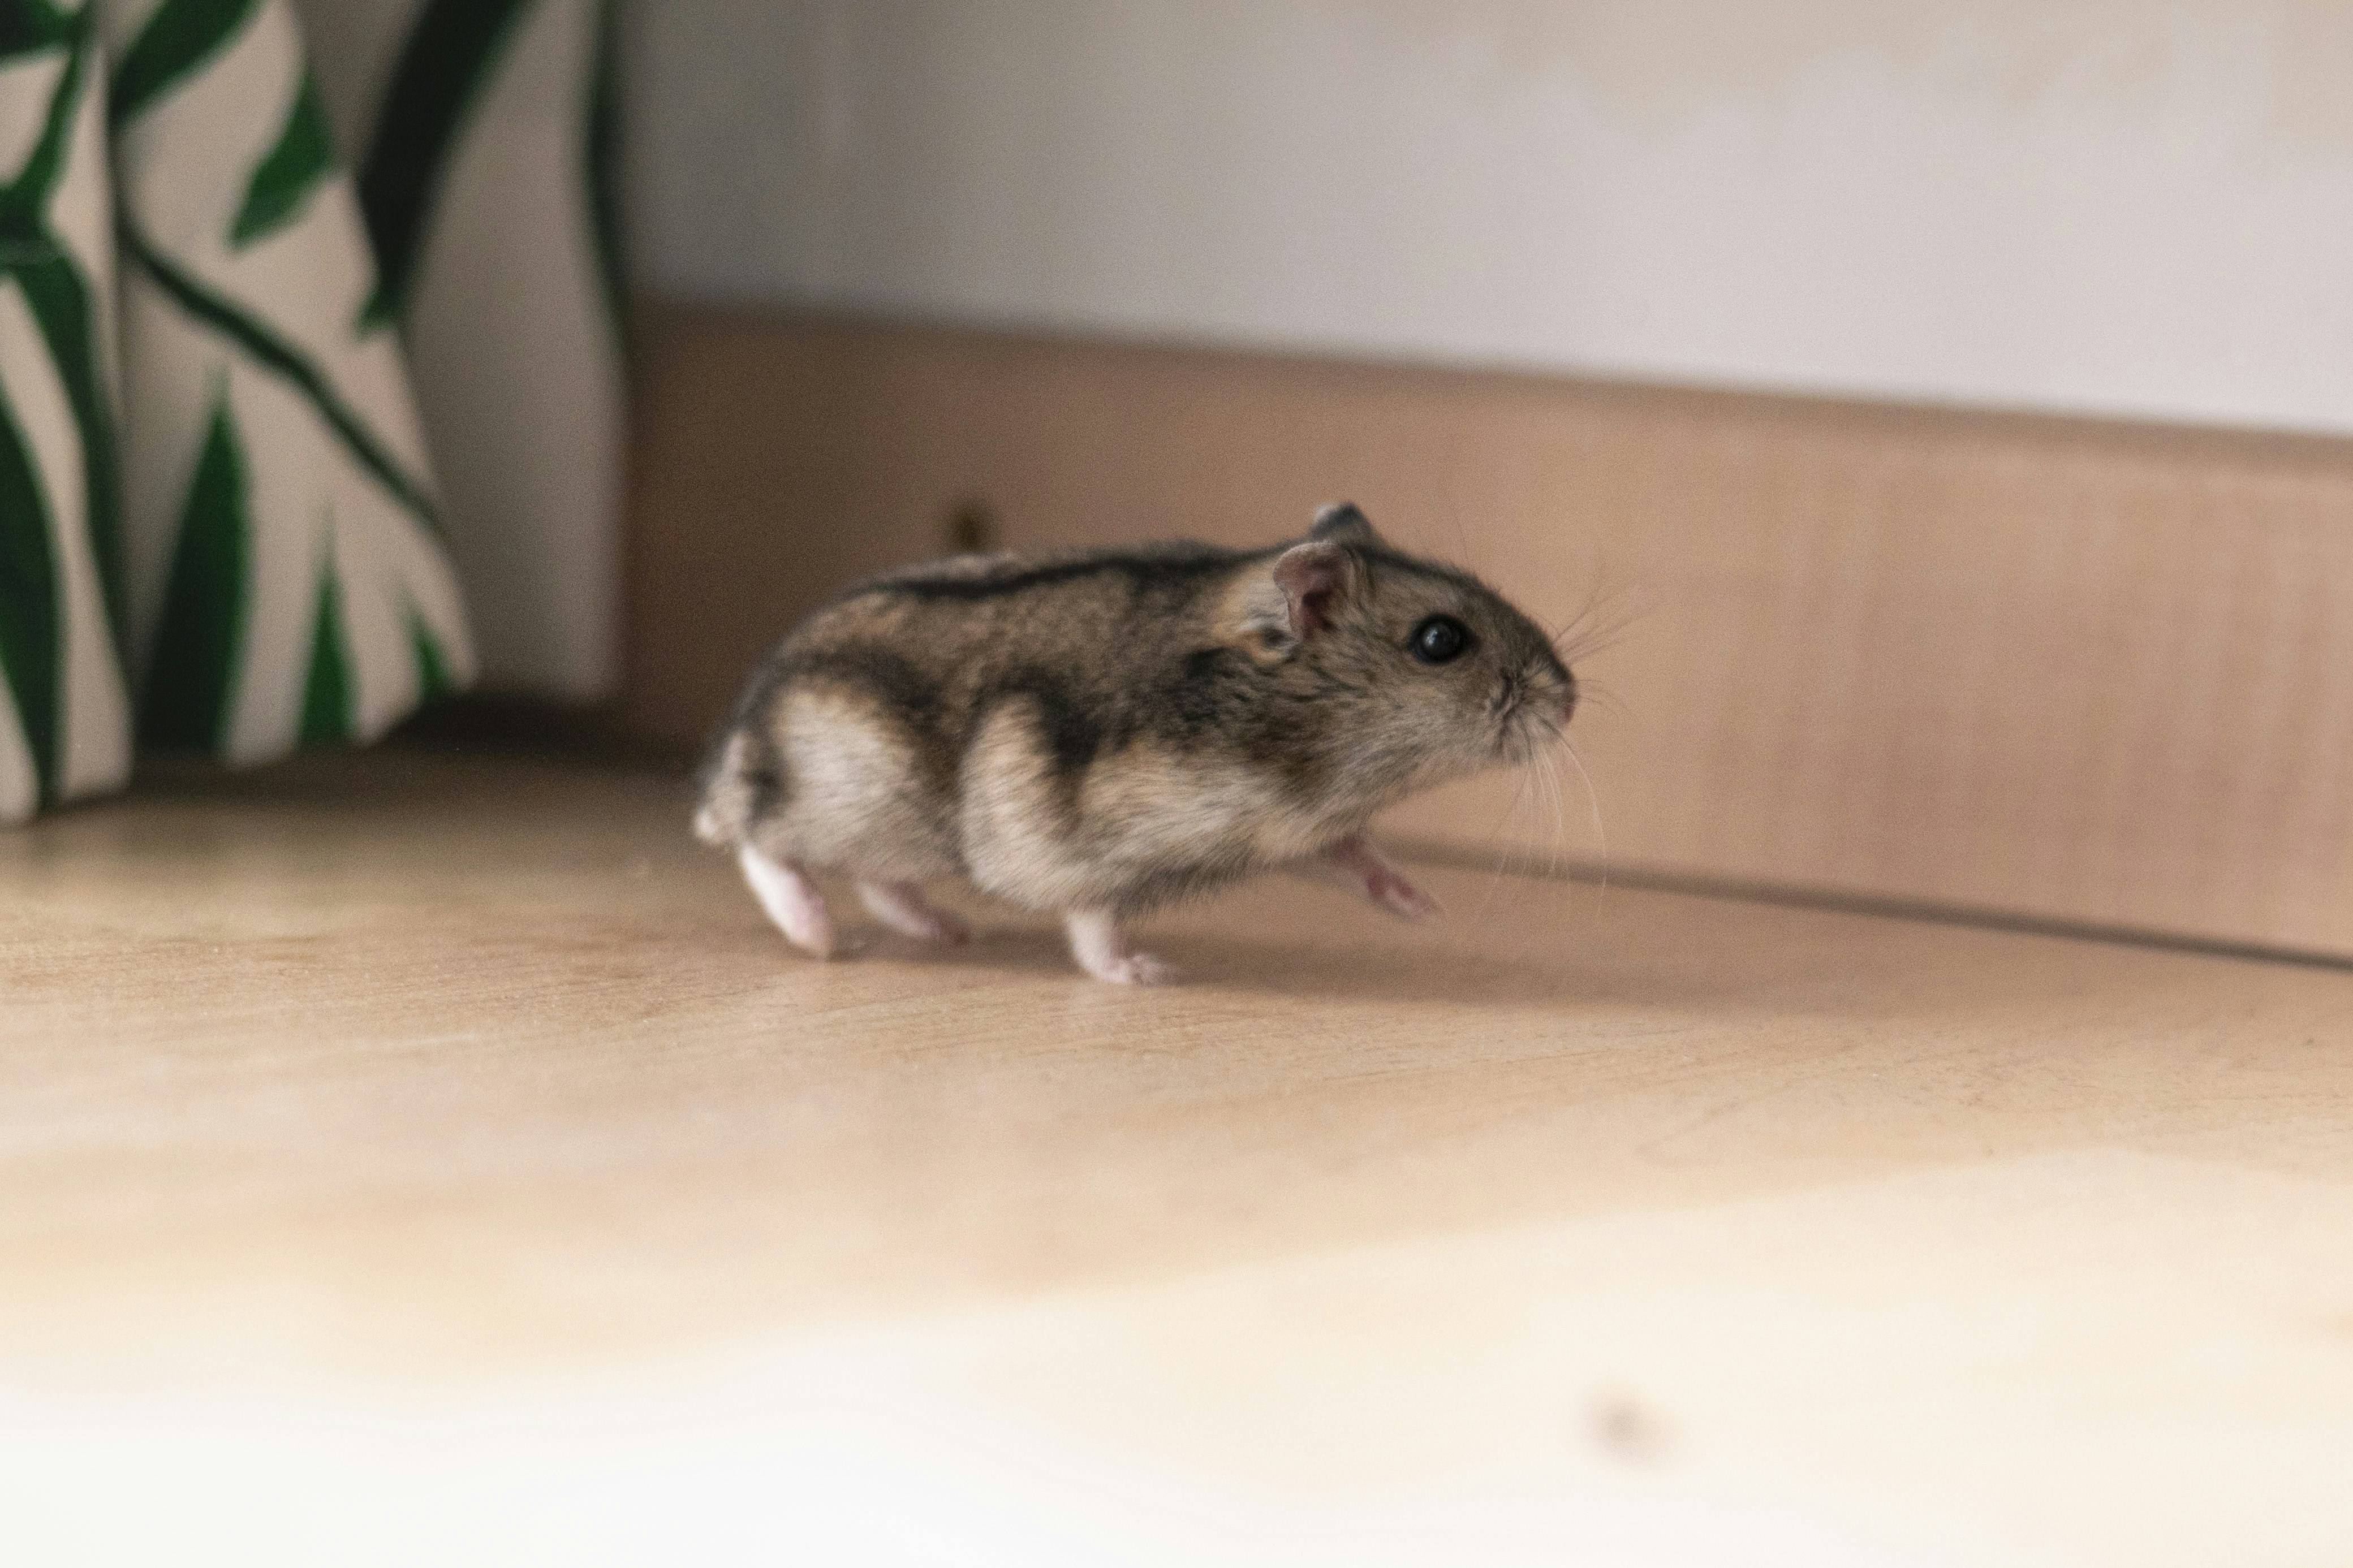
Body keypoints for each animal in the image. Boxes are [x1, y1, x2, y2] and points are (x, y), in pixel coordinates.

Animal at [694, 503, 1576, 982]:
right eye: (1440, 640)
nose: (1567, 700)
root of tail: (741, 737)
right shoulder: (1083, 845)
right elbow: (1093, 924)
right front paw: (1148, 975)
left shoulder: (1296, 833)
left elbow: (1354, 858)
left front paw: (1425, 909)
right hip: (845, 799)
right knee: (758, 842)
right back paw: (819, 935)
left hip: (893, 829)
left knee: (879, 882)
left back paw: (949, 930)